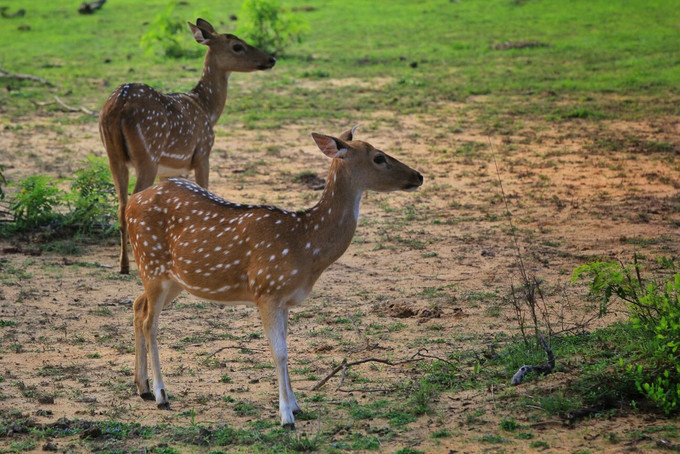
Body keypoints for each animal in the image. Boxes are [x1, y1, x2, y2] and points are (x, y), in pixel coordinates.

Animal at [99, 18, 274, 274]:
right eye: (237, 46)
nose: (271, 59)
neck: (207, 109)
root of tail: (119, 106)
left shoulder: (168, 169)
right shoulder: (203, 153)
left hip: (114, 157)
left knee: (121, 207)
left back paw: (124, 266)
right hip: (147, 155)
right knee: (131, 203)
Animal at [125, 127, 422, 430]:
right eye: (379, 157)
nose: (418, 176)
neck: (306, 245)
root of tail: (131, 202)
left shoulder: (285, 300)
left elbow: (286, 346)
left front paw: (296, 405)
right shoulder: (267, 290)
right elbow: (279, 351)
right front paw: (286, 417)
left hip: (173, 278)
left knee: (138, 305)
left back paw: (143, 387)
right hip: (151, 264)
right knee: (150, 323)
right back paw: (161, 394)